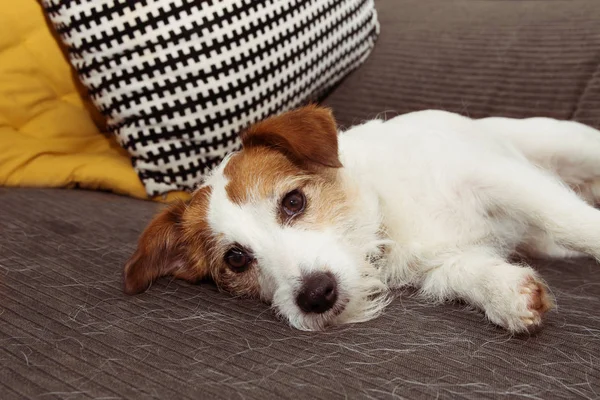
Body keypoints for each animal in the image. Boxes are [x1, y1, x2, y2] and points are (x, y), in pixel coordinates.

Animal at [124, 105, 600, 332]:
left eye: (293, 202)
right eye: (236, 259)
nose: (316, 295)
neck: (383, 221)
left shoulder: (500, 178)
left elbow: (568, 220)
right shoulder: (444, 264)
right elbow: (467, 274)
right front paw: (508, 295)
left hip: (564, 145)